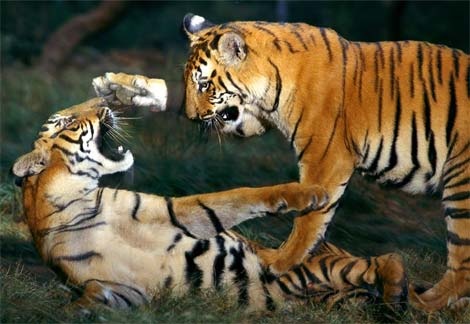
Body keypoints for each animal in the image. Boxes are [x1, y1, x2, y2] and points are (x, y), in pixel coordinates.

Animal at [11, 93, 408, 312]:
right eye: (69, 120)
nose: (104, 101)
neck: (75, 197)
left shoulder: (175, 213)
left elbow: (240, 195)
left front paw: (310, 194)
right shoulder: (117, 290)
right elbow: (84, 303)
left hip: (323, 264)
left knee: (387, 259)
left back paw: (398, 301)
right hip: (325, 285)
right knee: (381, 266)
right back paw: (394, 303)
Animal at [95, 13, 470, 312]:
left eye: (203, 84)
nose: (189, 117)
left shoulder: (326, 158)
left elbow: (309, 220)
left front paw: (278, 261)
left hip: (460, 185)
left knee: (461, 263)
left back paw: (423, 303)